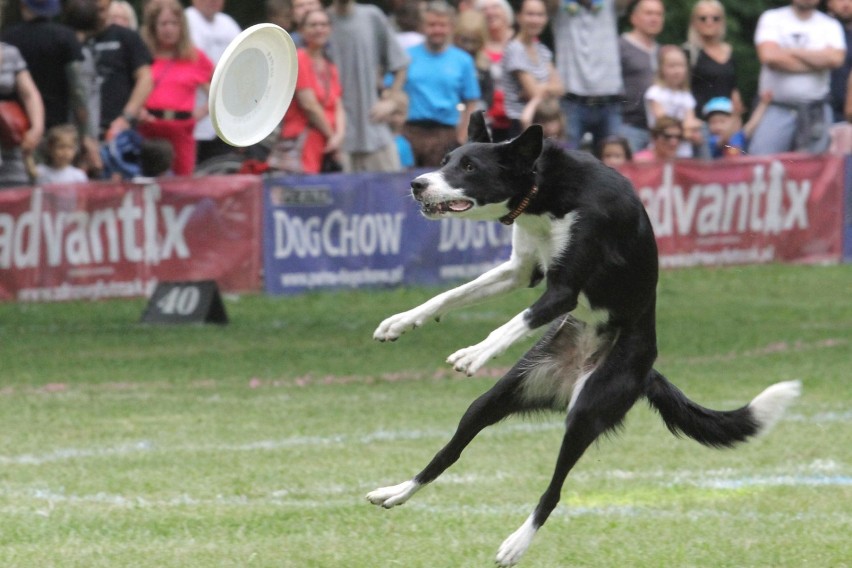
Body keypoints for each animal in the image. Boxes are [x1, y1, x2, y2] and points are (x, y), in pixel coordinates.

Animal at [364, 113, 800, 564]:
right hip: (500, 395)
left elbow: (514, 320)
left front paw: (475, 353)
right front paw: (400, 322)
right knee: (450, 451)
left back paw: (516, 544)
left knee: (553, 491)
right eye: (445, 160)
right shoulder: (521, 271)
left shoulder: (563, 290)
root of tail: (648, 371)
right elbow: (451, 295)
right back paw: (397, 491)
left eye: (469, 167)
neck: (543, 190)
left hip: (587, 411)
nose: (417, 183)